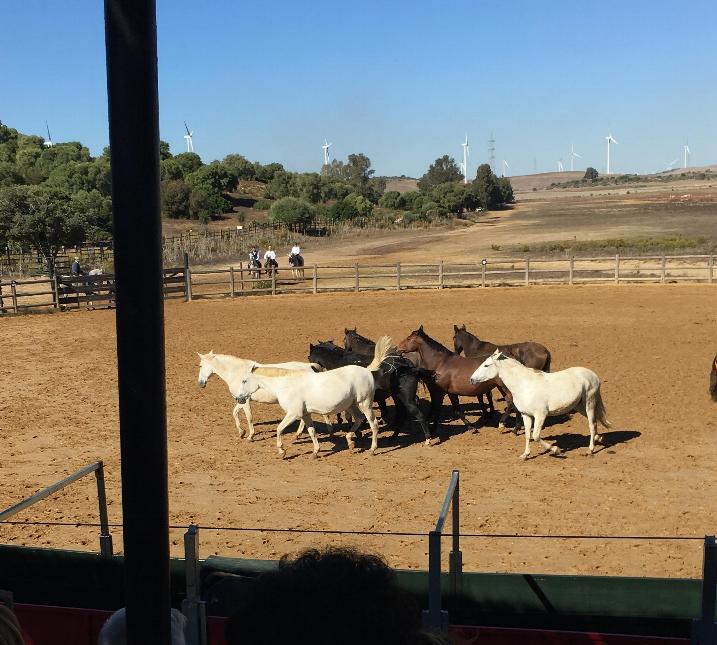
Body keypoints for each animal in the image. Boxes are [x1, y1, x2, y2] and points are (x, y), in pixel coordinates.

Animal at [196, 350, 330, 440]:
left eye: (200, 365)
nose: (200, 383)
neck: (237, 373)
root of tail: (309, 366)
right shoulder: (241, 400)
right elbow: (234, 413)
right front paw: (241, 432)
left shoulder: (245, 400)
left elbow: (249, 417)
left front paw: (250, 436)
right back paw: (299, 434)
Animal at [234, 338, 392, 458]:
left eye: (244, 381)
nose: (238, 398)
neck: (286, 384)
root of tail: (366, 370)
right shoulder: (305, 414)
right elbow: (311, 431)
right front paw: (315, 452)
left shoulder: (293, 413)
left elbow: (279, 429)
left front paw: (282, 451)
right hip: (351, 405)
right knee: (359, 418)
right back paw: (350, 443)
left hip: (365, 403)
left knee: (373, 424)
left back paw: (372, 450)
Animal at [470, 352, 608, 458]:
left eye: (486, 365)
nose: (471, 379)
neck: (524, 385)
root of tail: (594, 375)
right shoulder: (526, 415)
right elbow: (527, 435)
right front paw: (525, 455)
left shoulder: (540, 415)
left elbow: (535, 435)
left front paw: (555, 450)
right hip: (579, 406)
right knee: (595, 422)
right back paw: (599, 438)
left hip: (589, 403)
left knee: (592, 424)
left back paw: (590, 450)